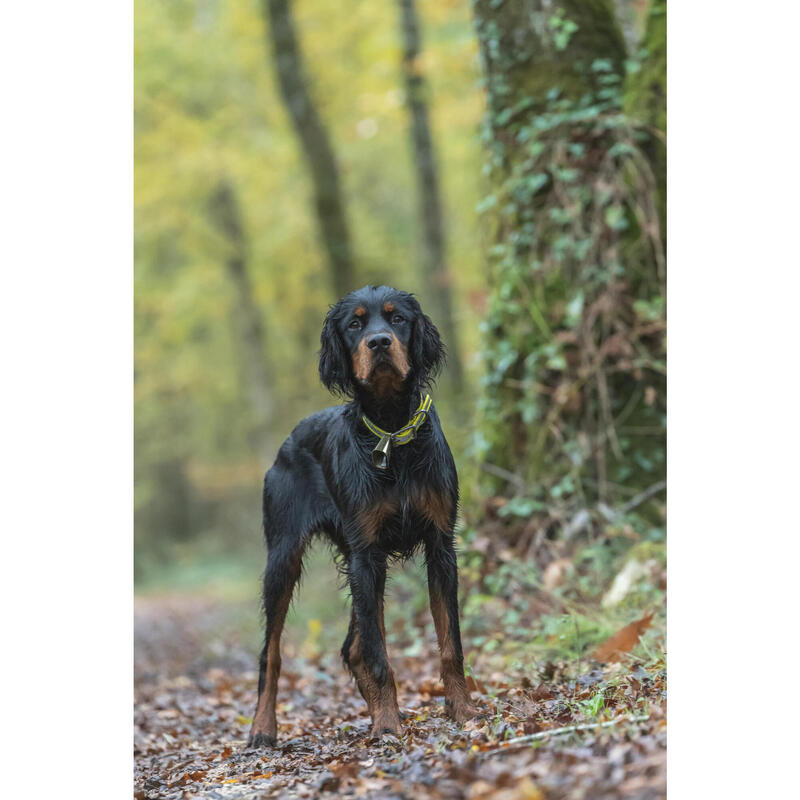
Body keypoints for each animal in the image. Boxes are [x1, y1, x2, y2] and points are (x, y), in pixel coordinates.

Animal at [247, 284, 478, 748]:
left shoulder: (439, 546)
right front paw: (387, 725)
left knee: (351, 647)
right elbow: (377, 654)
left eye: (398, 319)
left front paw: (461, 711)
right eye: (354, 324)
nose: (379, 343)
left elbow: (450, 643)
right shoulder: (366, 554)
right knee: (272, 652)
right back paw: (263, 728)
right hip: (286, 557)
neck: (391, 432)